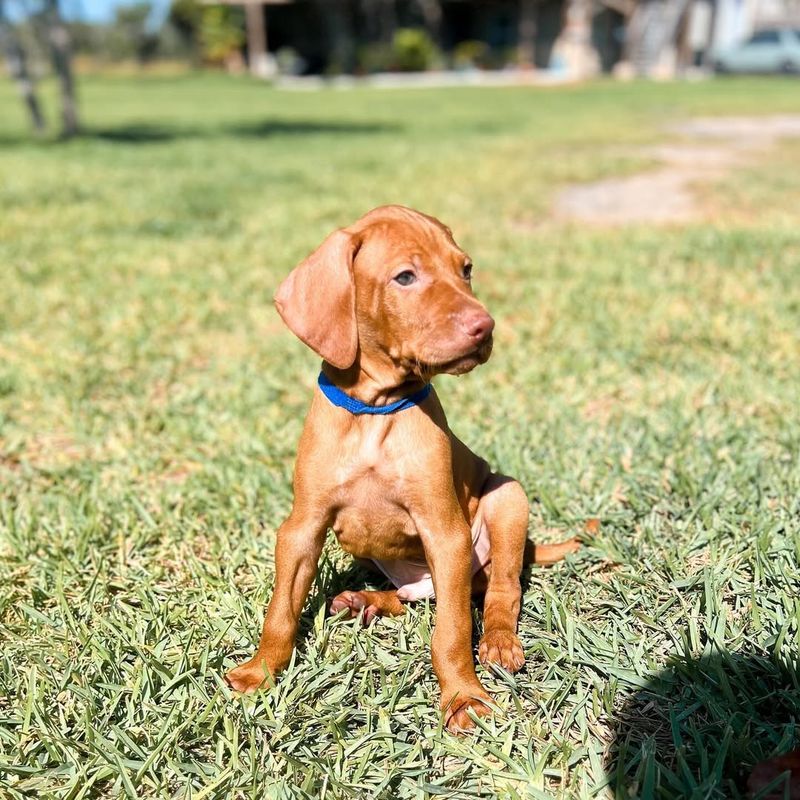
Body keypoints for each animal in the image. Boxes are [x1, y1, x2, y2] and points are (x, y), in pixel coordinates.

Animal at [225, 205, 576, 732]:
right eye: (405, 277)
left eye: (465, 269)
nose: (486, 326)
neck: (374, 412)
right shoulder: (302, 526)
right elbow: (280, 609)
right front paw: (261, 670)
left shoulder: (445, 532)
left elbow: (451, 630)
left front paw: (463, 698)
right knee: (414, 596)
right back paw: (363, 601)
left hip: (507, 497)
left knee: (500, 588)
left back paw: (497, 641)